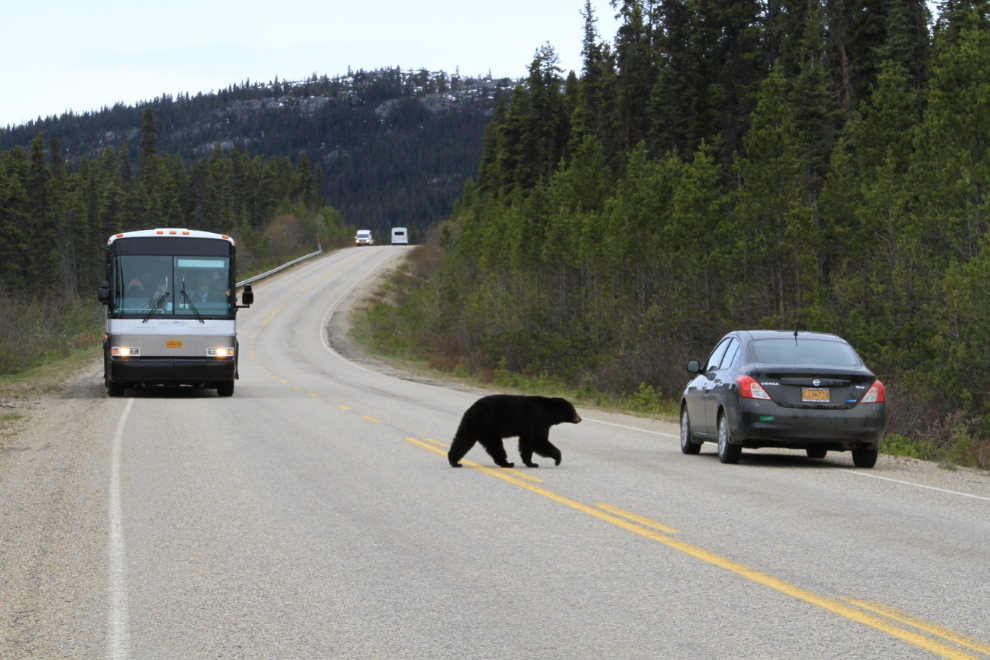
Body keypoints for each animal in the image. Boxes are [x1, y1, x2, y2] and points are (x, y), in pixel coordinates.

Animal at [448, 394, 580, 466]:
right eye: (574, 410)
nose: (580, 418)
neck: (548, 412)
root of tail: (472, 410)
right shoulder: (537, 420)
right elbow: (538, 440)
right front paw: (558, 459)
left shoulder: (528, 427)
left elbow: (526, 443)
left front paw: (531, 463)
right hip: (488, 426)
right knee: (495, 445)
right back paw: (507, 463)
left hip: (471, 426)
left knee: (462, 440)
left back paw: (454, 461)